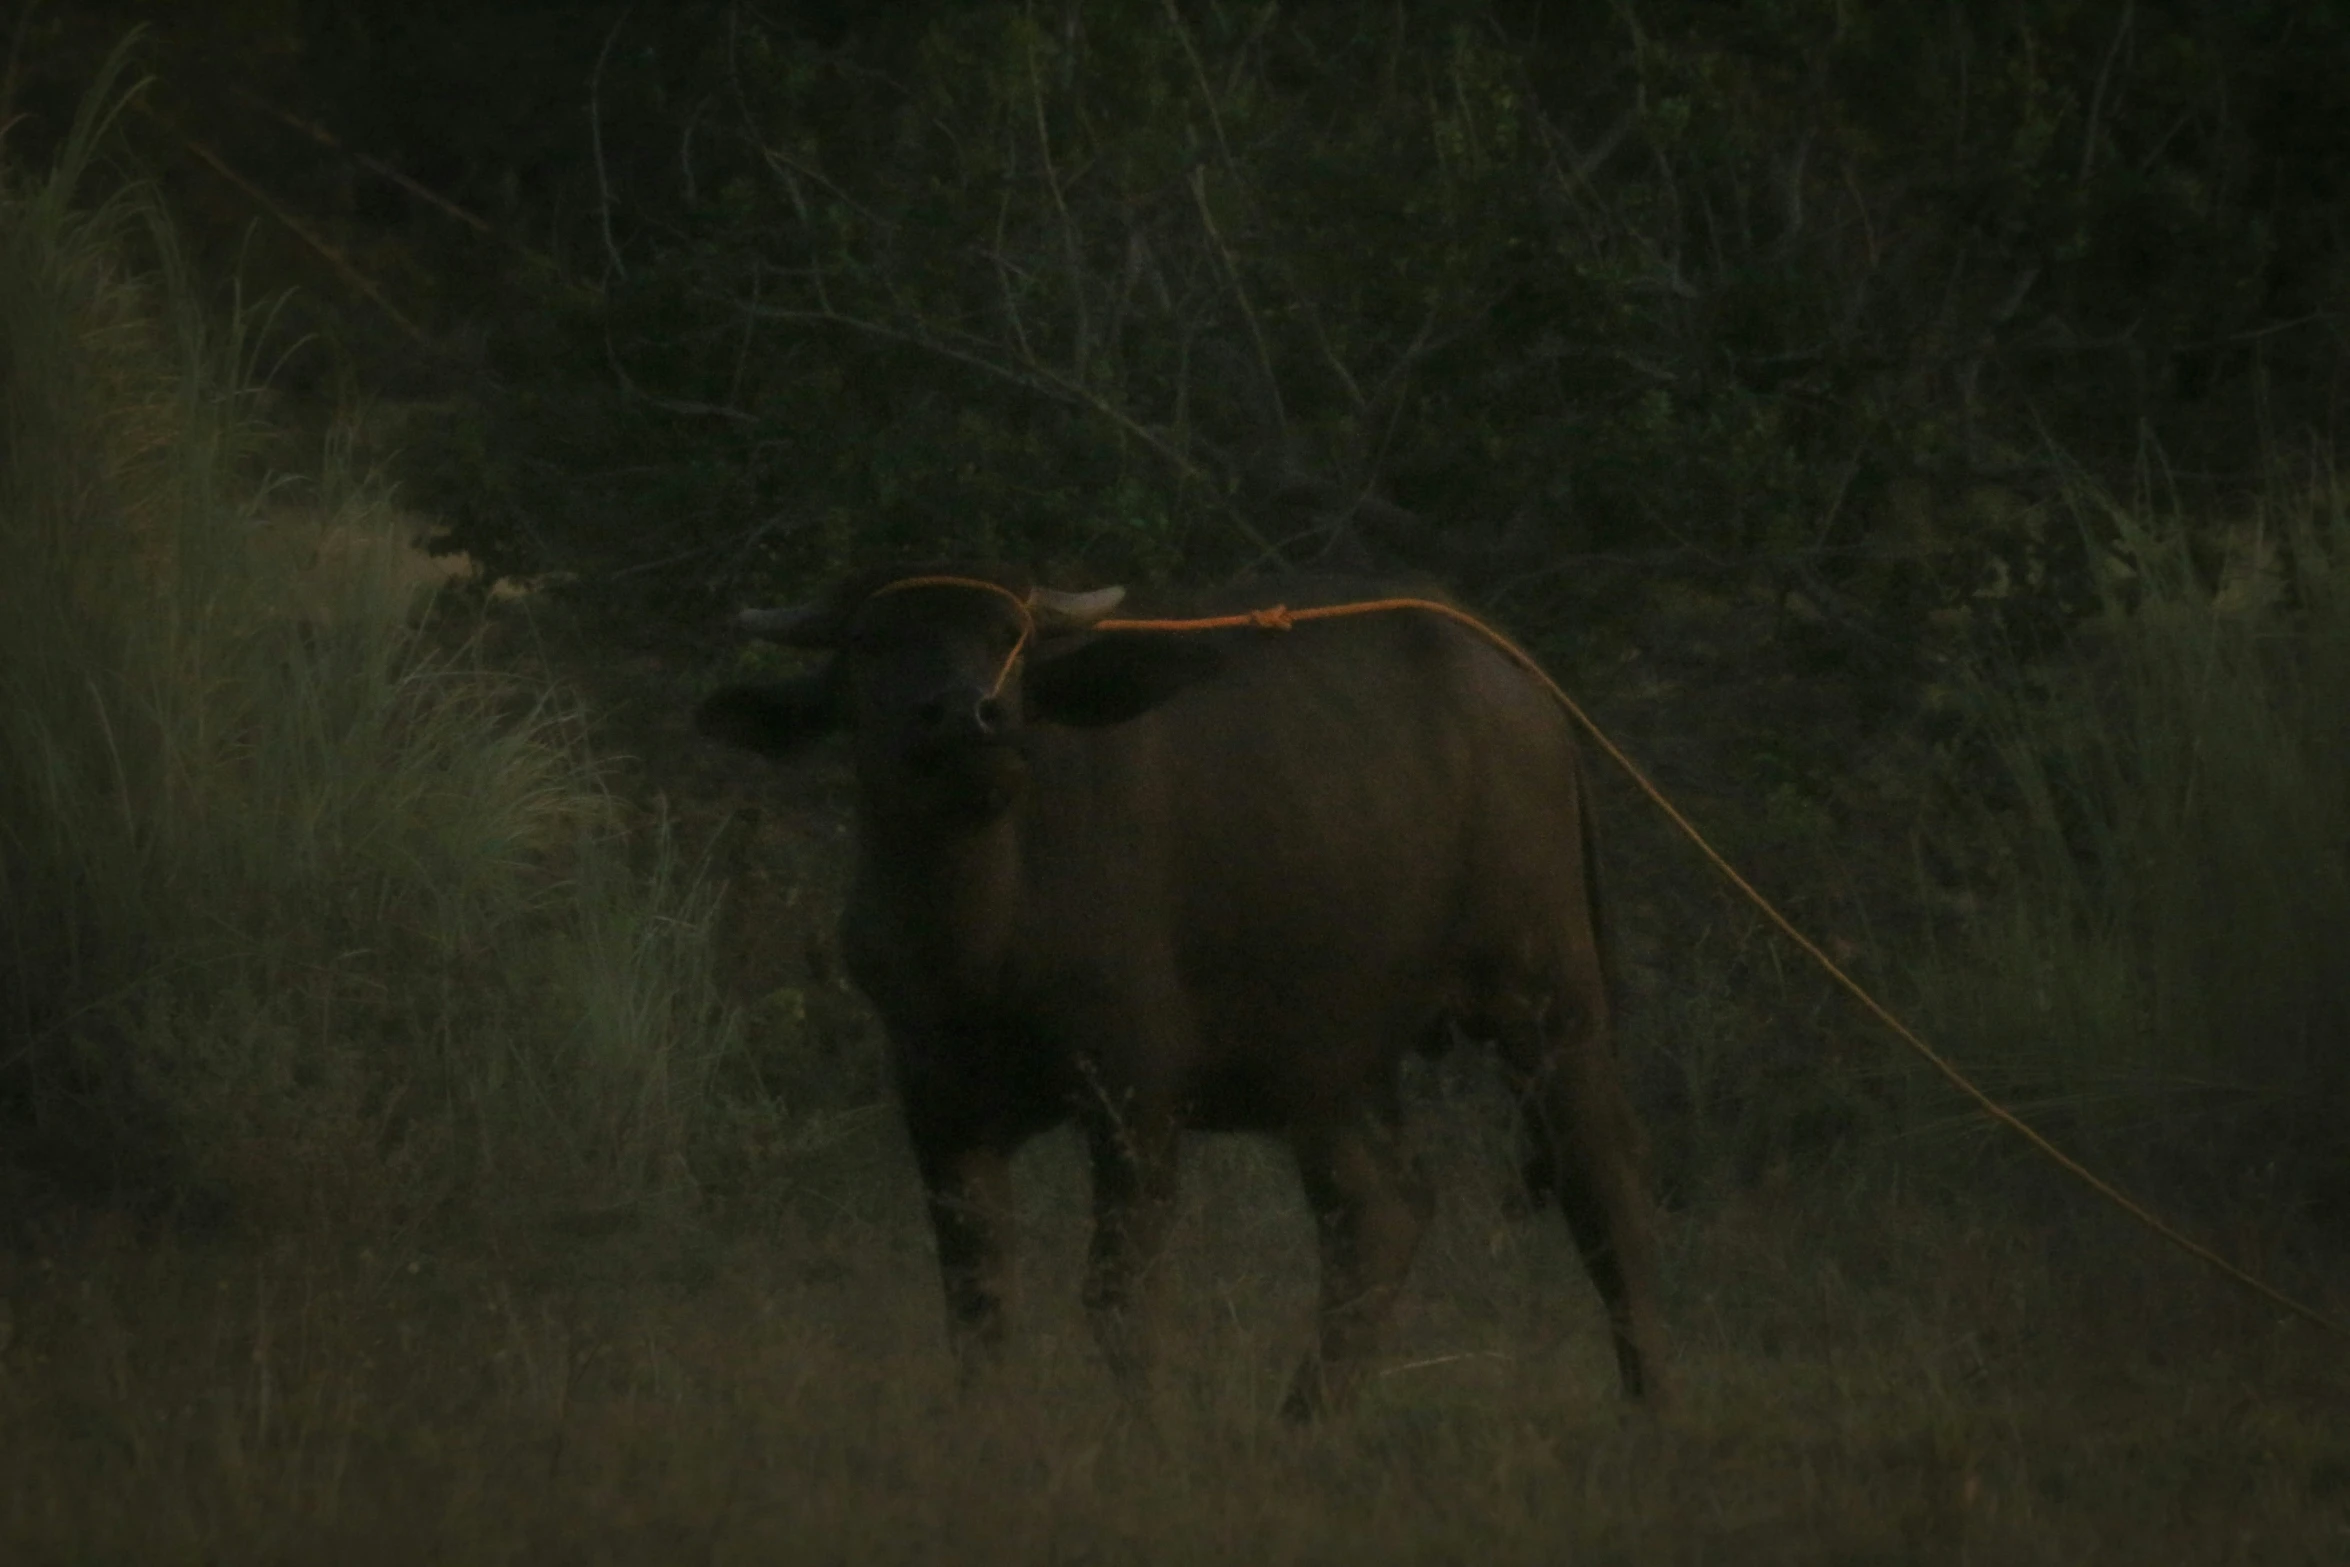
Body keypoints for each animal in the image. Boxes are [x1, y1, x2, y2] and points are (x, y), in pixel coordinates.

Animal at [695, 566, 1673, 1418]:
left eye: (1010, 637)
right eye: (869, 641)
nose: (971, 715)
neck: (981, 932)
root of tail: (1521, 684)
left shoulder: (1135, 1094)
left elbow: (1119, 1296)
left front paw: (1147, 1432)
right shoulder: (938, 1103)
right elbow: (978, 1300)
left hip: (1546, 997)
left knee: (1605, 1187)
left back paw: (1650, 1407)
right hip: (1329, 1057)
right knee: (1379, 1211)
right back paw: (1303, 1419)